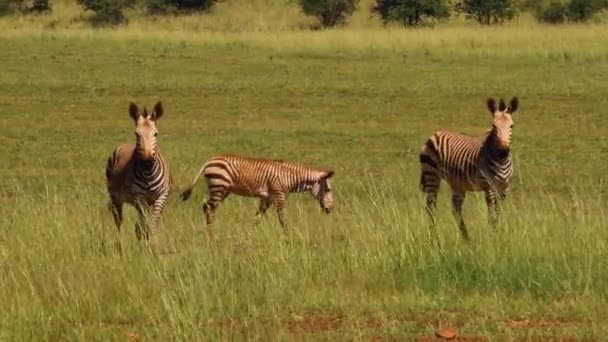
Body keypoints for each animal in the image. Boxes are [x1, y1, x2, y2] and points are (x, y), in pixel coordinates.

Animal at [104, 101, 175, 240]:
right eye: (137, 134)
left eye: (156, 134)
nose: (147, 161)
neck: (149, 174)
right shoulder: (139, 198)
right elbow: (142, 226)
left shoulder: (161, 196)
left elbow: (151, 224)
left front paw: (152, 242)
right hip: (115, 197)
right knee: (118, 220)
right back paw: (121, 241)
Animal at [179, 154, 338, 232]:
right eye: (328, 190)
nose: (330, 209)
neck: (289, 177)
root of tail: (209, 161)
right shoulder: (279, 195)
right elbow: (283, 219)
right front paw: (289, 237)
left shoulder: (266, 199)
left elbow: (257, 218)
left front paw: (249, 236)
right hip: (219, 187)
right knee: (209, 209)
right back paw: (211, 235)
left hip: (220, 189)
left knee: (206, 207)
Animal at [420, 96, 520, 240]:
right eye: (493, 126)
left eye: (511, 126)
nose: (503, 152)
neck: (500, 161)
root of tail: (435, 133)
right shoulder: (489, 187)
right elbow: (492, 215)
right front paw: (492, 238)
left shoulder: (504, 188)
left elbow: (498, 213)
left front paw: (498, 234)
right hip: (431, 175)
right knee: (431, 207)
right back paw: (435, 238)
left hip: (457, 184)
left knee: (455, 209)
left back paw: (466, 238)